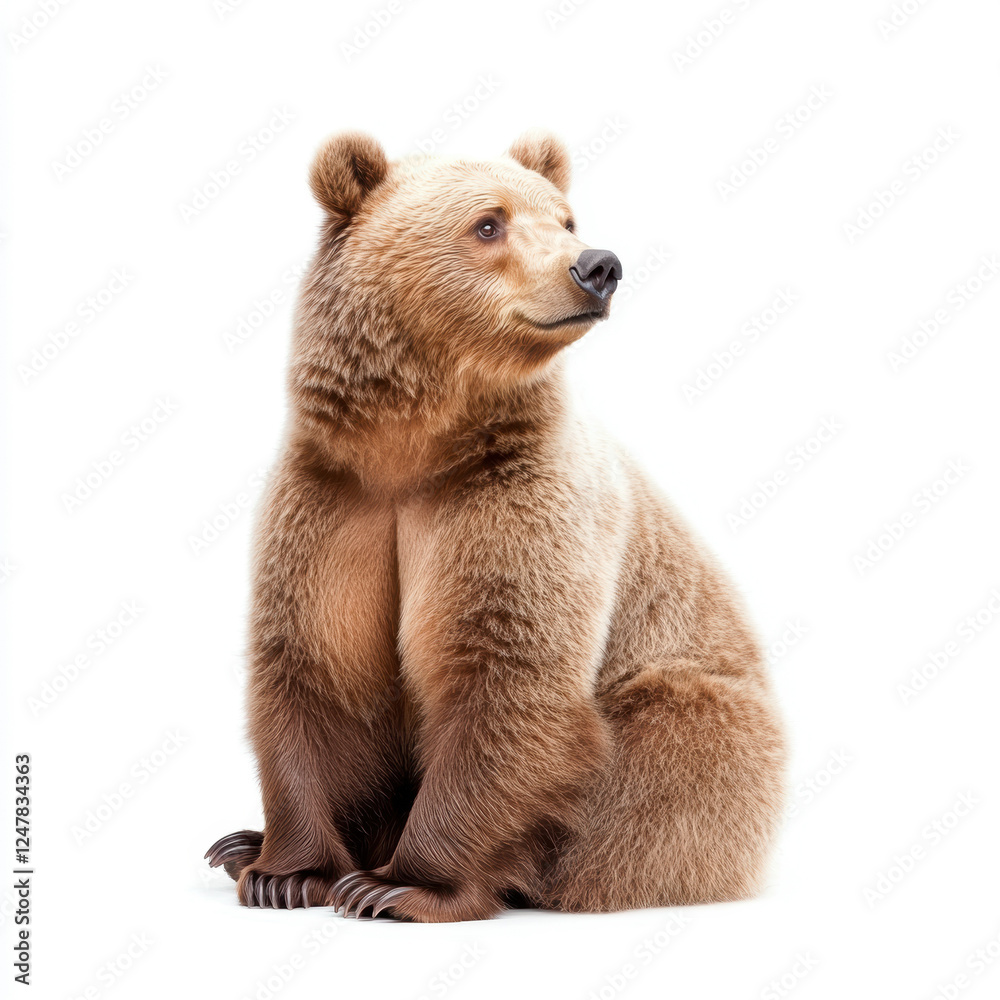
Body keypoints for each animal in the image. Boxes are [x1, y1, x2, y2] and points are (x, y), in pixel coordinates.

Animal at [206, 129, 787, 922]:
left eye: (566, 218)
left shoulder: (512, 504)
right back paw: (237, 843)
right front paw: (285, 873)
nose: (598, 267)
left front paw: (397, 884)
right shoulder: (335, 507)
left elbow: (505, 673)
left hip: (701, 710)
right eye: (489, 223)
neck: (413, 448)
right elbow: (316, 667)